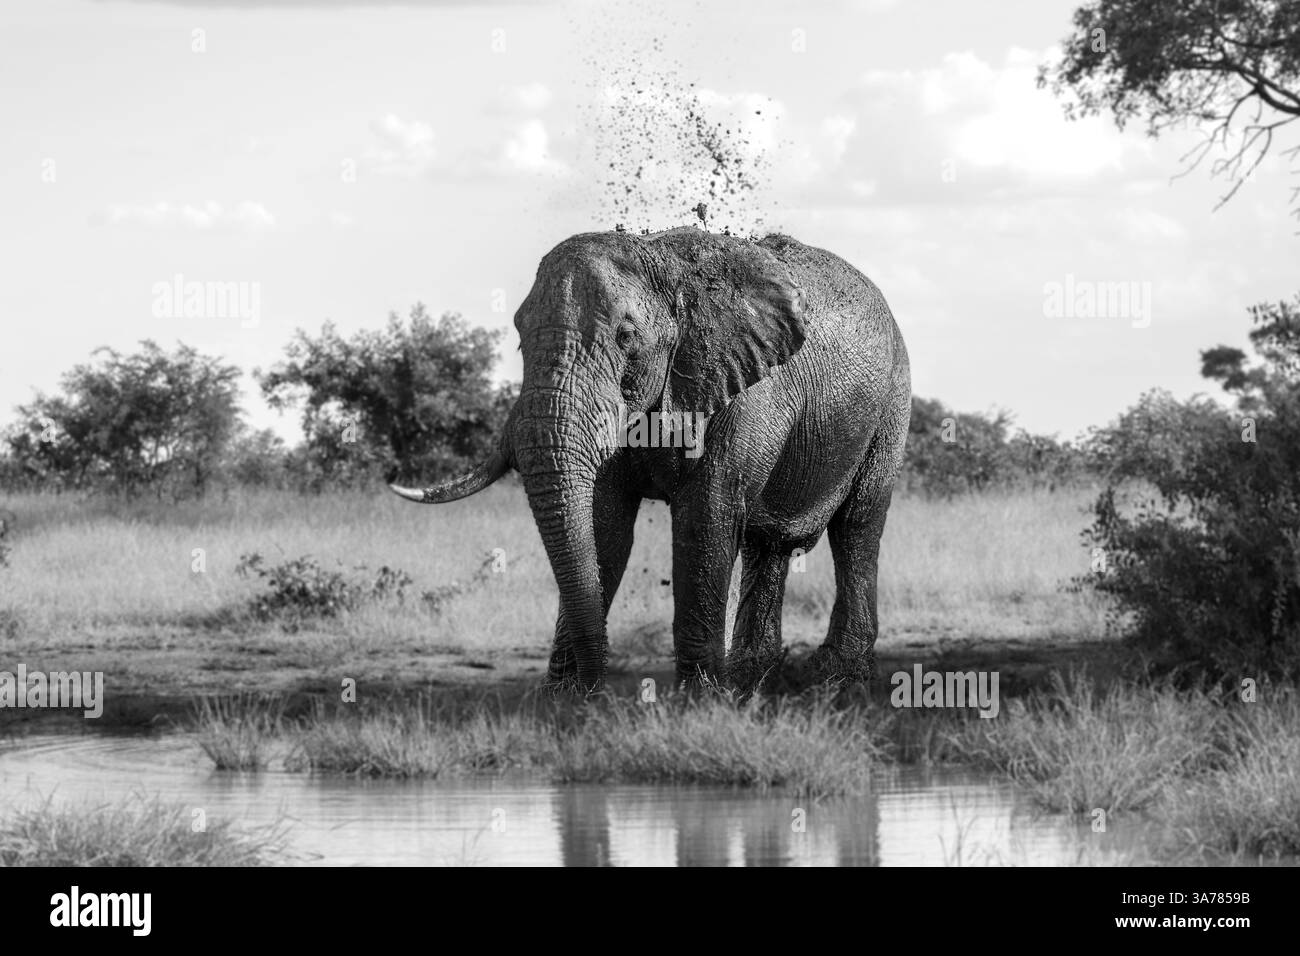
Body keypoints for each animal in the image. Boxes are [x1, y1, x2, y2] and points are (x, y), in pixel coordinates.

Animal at [391, 226, 911, 693]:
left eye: (626, 337)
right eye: (519, 336)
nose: (599, 692)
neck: (663, 261)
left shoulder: (745, 392)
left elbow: (706, 519)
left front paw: (700, 704)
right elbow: (604, 526)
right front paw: (564, 704)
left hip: (893, 401)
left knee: (857, 527)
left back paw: (838, 680)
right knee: (769, 544)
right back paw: (753, 682)